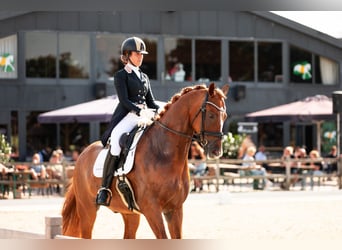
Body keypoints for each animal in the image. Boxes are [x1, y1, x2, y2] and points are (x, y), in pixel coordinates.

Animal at [61, 82, 230, 238]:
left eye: (225, 116)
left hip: (130, 214)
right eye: (211, 115)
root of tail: (83, 154)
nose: (217, 151)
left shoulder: (175, 209)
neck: (163, 153)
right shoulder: (151, 209)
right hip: (87, 210)